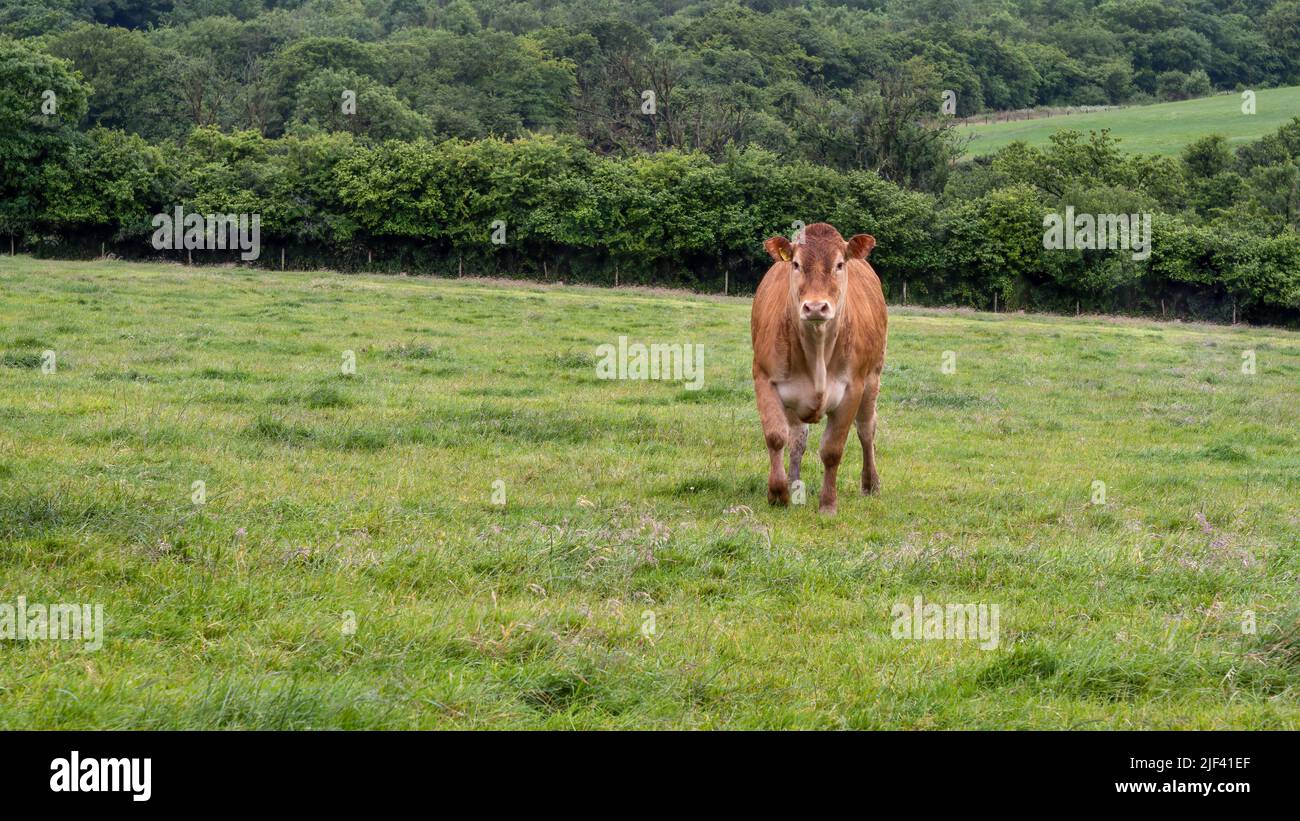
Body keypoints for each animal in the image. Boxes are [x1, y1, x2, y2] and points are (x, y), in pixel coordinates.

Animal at [748, 220, 889, 509]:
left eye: (839, 264)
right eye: (796, 264)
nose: (815, 307)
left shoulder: (853, 387)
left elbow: (832, 450)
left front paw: (828, 504)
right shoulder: (764, 378)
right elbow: (777, 437)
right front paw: (778, 493)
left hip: (873, 379)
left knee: (866, 430)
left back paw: (870, 484)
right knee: (797, 437)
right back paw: (793, 482)